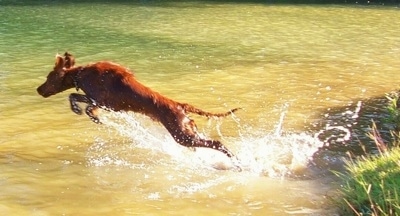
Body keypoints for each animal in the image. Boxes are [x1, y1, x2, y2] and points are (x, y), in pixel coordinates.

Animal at [37, 52, 241, 167]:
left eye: (48, 77)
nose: (38, 89)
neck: (81, 74)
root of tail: (180, 105)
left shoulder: (102, 101)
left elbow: (80, 101)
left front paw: (89, 115)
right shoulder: (104, 103)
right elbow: (75, 97)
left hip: (182, 135)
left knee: (218, 144)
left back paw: (237, 163)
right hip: (188, 132)